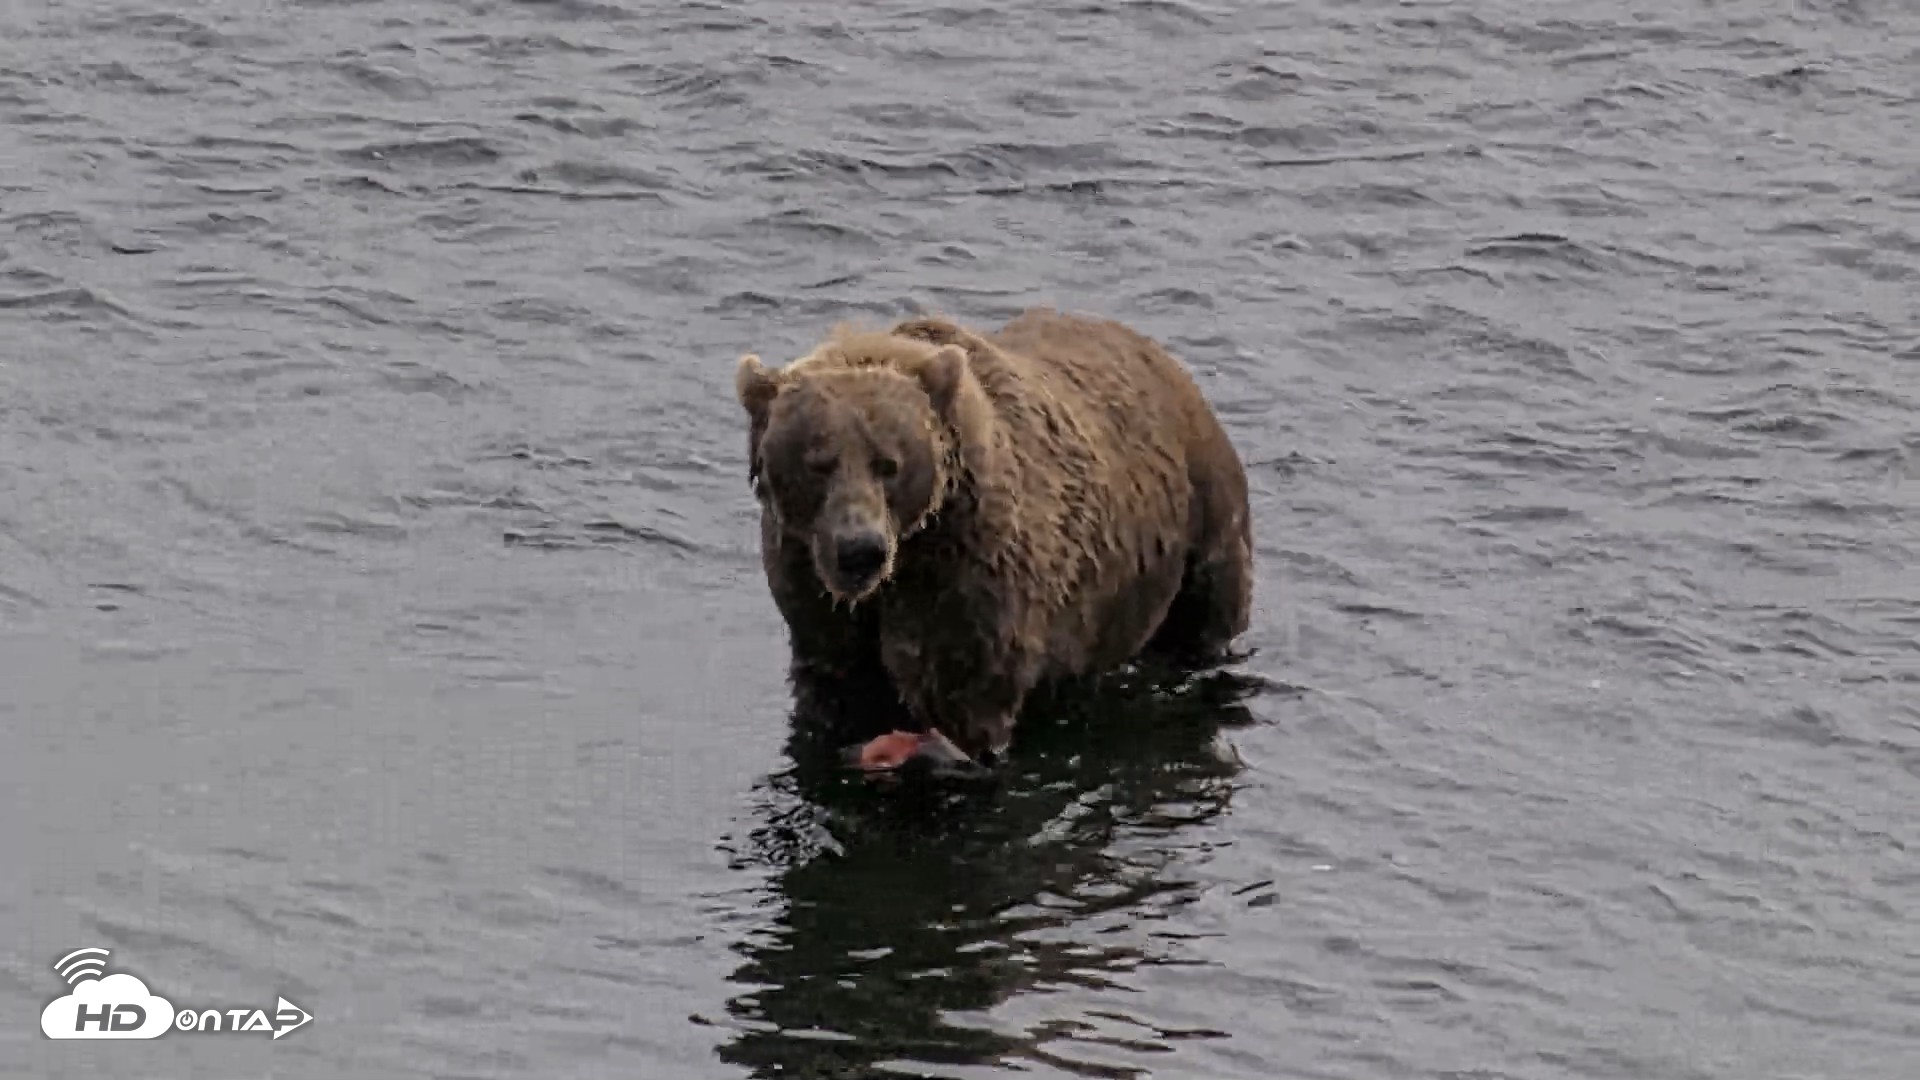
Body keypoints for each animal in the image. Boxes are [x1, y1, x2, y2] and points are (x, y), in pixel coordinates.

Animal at [733, 307, 1253, 773]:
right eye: (818, 463)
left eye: (889, 464)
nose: (860, 549)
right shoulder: (812, 599)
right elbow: (833, 686)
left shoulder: (968, 580)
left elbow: (963, 698)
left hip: (1203, 521)